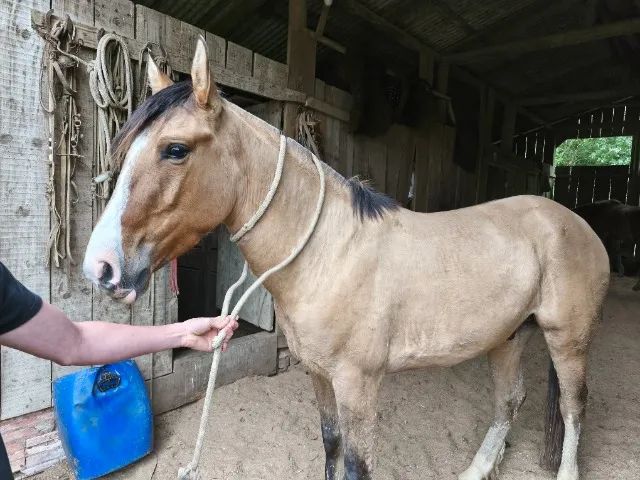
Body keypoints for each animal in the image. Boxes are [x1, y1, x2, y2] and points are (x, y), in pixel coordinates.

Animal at [82, 37, 610, 480]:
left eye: (175, 149)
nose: (101, 267)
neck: (329, 257)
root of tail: (576, 224)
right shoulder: (320, 375)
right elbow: (330, 444)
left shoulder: (359, 384)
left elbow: (357, 463)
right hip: (509, 335)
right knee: (509, 402)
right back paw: (475, 470)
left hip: (567, 338)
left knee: (574, 407)